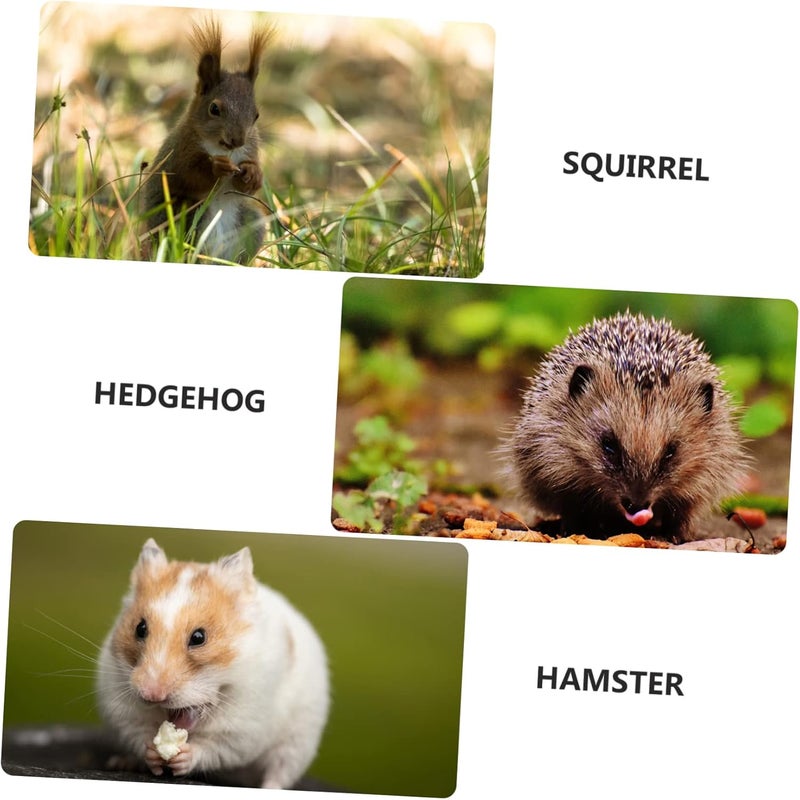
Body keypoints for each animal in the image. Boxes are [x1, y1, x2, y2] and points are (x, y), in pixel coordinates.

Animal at [97, 538, 330, 789]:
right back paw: (122, 762)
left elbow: (213, 748)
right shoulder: (124, 711)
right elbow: (140, 735)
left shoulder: (243, 729)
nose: (152, 695)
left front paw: (182, 756)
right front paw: (153, 753)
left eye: (199, 637)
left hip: (297, 743)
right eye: (140, 628)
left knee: (278, 772)